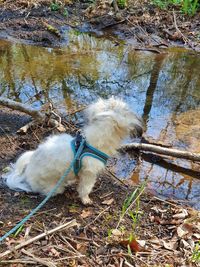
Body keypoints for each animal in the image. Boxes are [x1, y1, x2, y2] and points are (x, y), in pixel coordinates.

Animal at [3, 98, 143, 205]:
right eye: (127, 111)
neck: (91, 142)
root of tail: (27, 170)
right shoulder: (89, 174)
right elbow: (85, 189)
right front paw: (86, 200)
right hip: (53, 187)